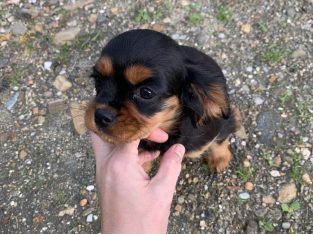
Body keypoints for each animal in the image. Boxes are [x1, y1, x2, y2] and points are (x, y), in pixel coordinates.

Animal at [84, 29, 240, 172]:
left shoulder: (217, 125)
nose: (100, 116)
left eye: (146, 93)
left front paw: (219, 158)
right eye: (97, 79)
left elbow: (220, 139)